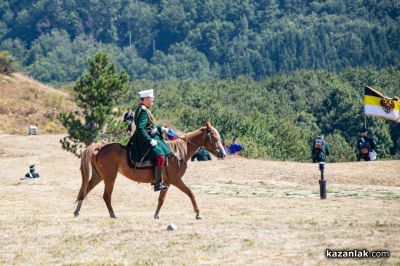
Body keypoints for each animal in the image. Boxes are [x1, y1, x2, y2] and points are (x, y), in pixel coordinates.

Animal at [73, 121, 227, 219]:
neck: (178, 152)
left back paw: (77, 211)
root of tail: (99, 147)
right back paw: (112, 215)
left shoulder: (167, 182)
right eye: (214, 137)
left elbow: (161, 199)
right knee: (106, 196)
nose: (223, 154)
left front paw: (156, 214)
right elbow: (191, 193)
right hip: (110, 178)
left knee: (85, 191)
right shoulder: (176, 180)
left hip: (98, 176)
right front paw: (198, 213)